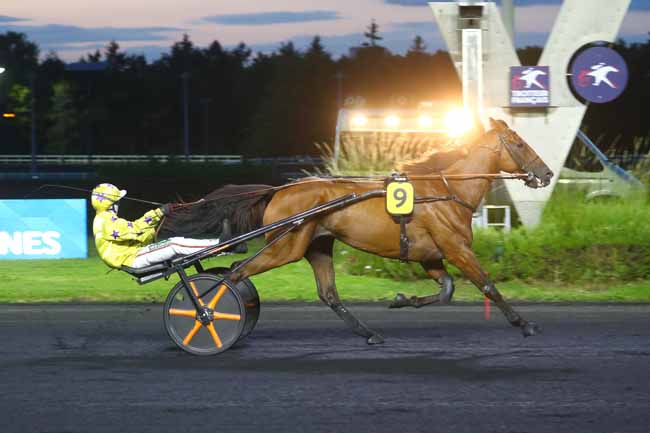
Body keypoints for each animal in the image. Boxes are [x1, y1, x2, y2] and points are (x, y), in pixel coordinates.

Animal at [165, 118, 548, 344]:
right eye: (519, 143)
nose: (545, 173)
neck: (448, 190)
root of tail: (278, 190)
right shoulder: (456, 249)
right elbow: (488, 286)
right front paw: (524, 323)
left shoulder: (431, 256)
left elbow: (447, 290)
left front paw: (402, 300)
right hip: (284, 247)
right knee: (233, 273)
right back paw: (205, 315)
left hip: (317, 247)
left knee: (329, 294)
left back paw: (369, 332)